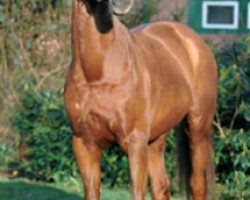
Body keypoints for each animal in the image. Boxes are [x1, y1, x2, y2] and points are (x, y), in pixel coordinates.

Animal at [64, 0, 217, 200]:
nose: (123, 3)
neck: (97, 75)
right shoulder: (83, 143)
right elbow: (92, 191)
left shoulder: (135, 142)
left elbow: (137, 192)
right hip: (156, 139)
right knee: (161, 186)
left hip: (198, 130)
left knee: (197, 184)